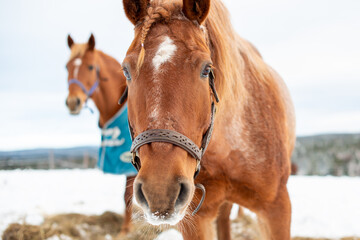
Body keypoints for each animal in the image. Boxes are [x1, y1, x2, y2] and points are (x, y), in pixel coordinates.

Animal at [121, 0, 296, 240]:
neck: (229, 147)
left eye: (206, 69)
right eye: (126, 71)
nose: (159, 190)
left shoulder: (277, 209)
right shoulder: (197, 219)